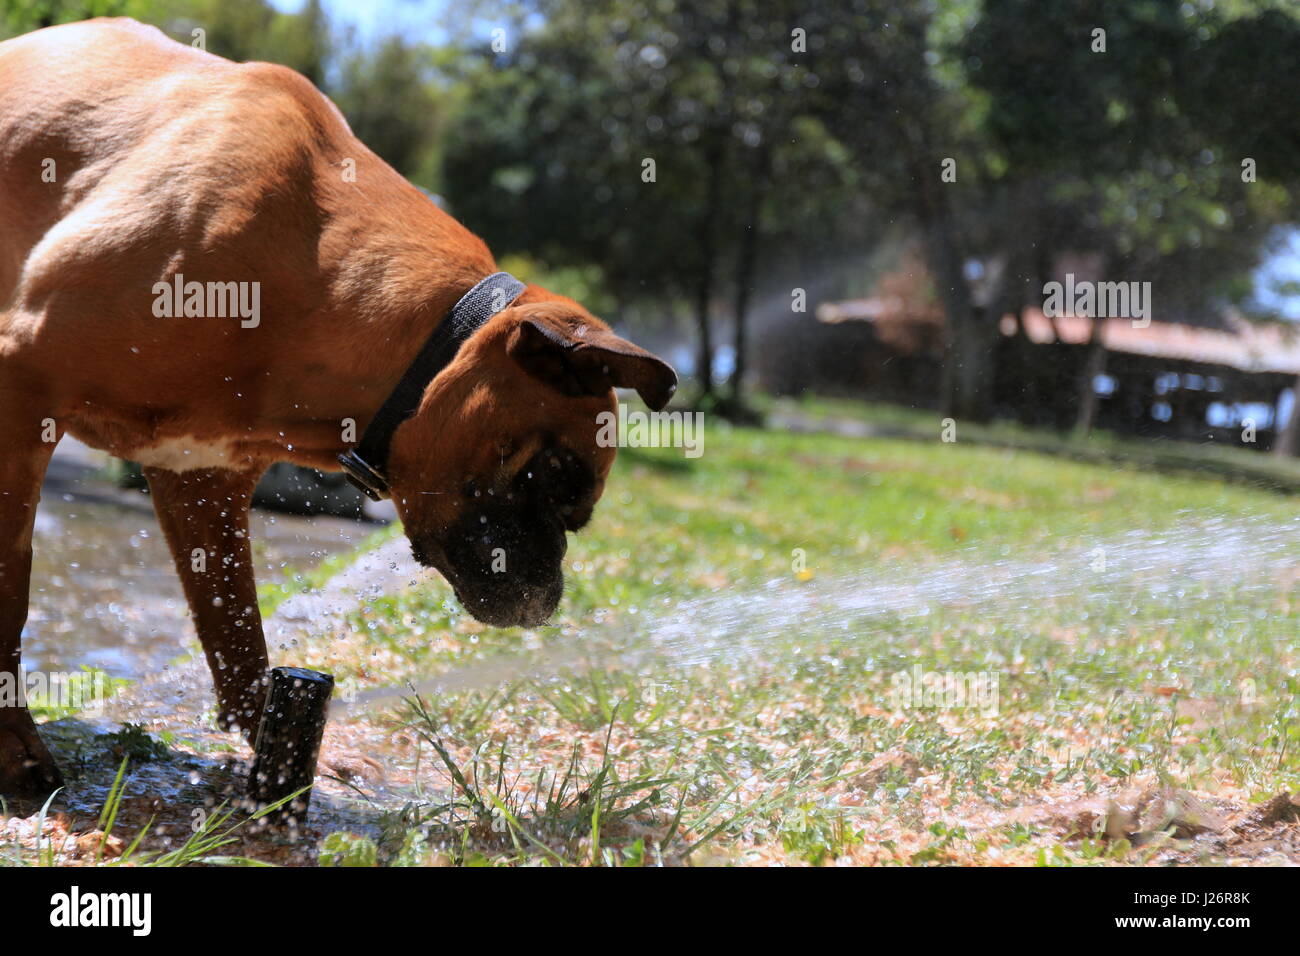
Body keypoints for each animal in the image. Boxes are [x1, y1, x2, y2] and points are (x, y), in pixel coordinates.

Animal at [0, 18, 670, 796]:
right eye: (553, 474)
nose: (549, 597)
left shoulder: (202, 485)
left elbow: (237, 630)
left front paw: (285, 749)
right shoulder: (21, 391)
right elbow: (9, 594)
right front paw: (16, 750)